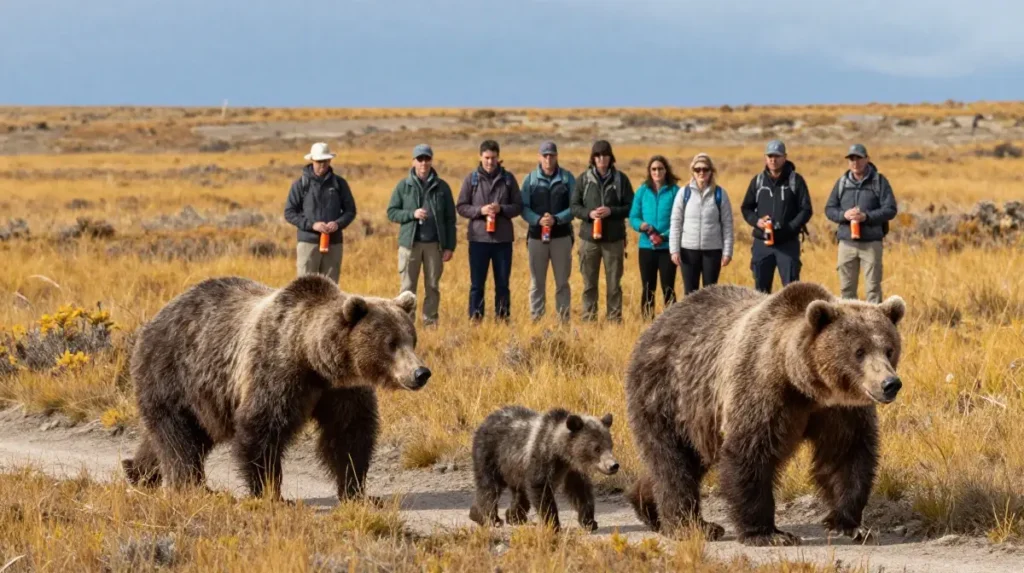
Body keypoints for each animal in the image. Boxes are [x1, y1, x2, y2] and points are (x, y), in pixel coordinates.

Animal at [121, 274, 431, 502]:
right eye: (391, 343)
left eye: (411, 338)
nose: (421, 373)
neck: (313, 359)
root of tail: (154, 320)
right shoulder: (277, 372)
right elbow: (261, 429)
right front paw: (270, 493)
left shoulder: (341, 391)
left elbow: (349, 434)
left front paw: (357, 491)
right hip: (174, 374)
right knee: (179, 438)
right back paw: (194, 486)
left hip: (205, 398)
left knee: (179, 435)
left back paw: (137, 471)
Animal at [468, 405, 620, 532]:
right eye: (596, 448)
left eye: (610, 445)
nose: (613, 465)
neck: (560, 451)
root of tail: (485, 421)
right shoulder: (542, 458)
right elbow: (541, 490)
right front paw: (553, 524)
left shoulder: (571, 469)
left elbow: (580, 491)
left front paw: (589, 521)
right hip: (491, 455)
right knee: (489, 486)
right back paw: (487, 517)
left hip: (515, 469)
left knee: (519, 493)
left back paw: (511, 516)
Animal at [623, 281, 906, 547]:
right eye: (859, 351)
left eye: (889, 349)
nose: (890, 383)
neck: (804, 385)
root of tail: (654, 326)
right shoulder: (762, 390)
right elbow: (750, 453)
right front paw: (769, 534)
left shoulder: (839, 411)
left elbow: (846, 454)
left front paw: (851, 525)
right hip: (667, 396)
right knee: (673, 463)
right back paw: (693, 526)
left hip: (696, 419)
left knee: (683, 460)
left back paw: (646, 506)